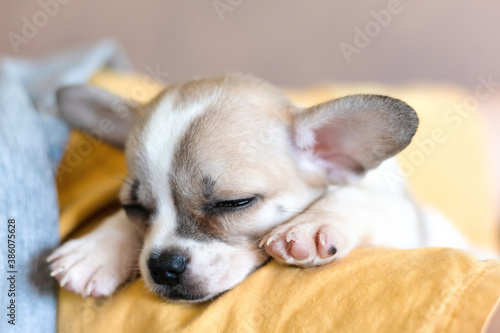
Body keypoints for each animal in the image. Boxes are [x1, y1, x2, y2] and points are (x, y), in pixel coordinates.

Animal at [45, 73, 470, 300]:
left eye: (234, 203)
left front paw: (313, 224)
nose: (163, 265)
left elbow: (353, 196)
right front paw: (97, 249)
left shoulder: (407, 221)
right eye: (134, 209)